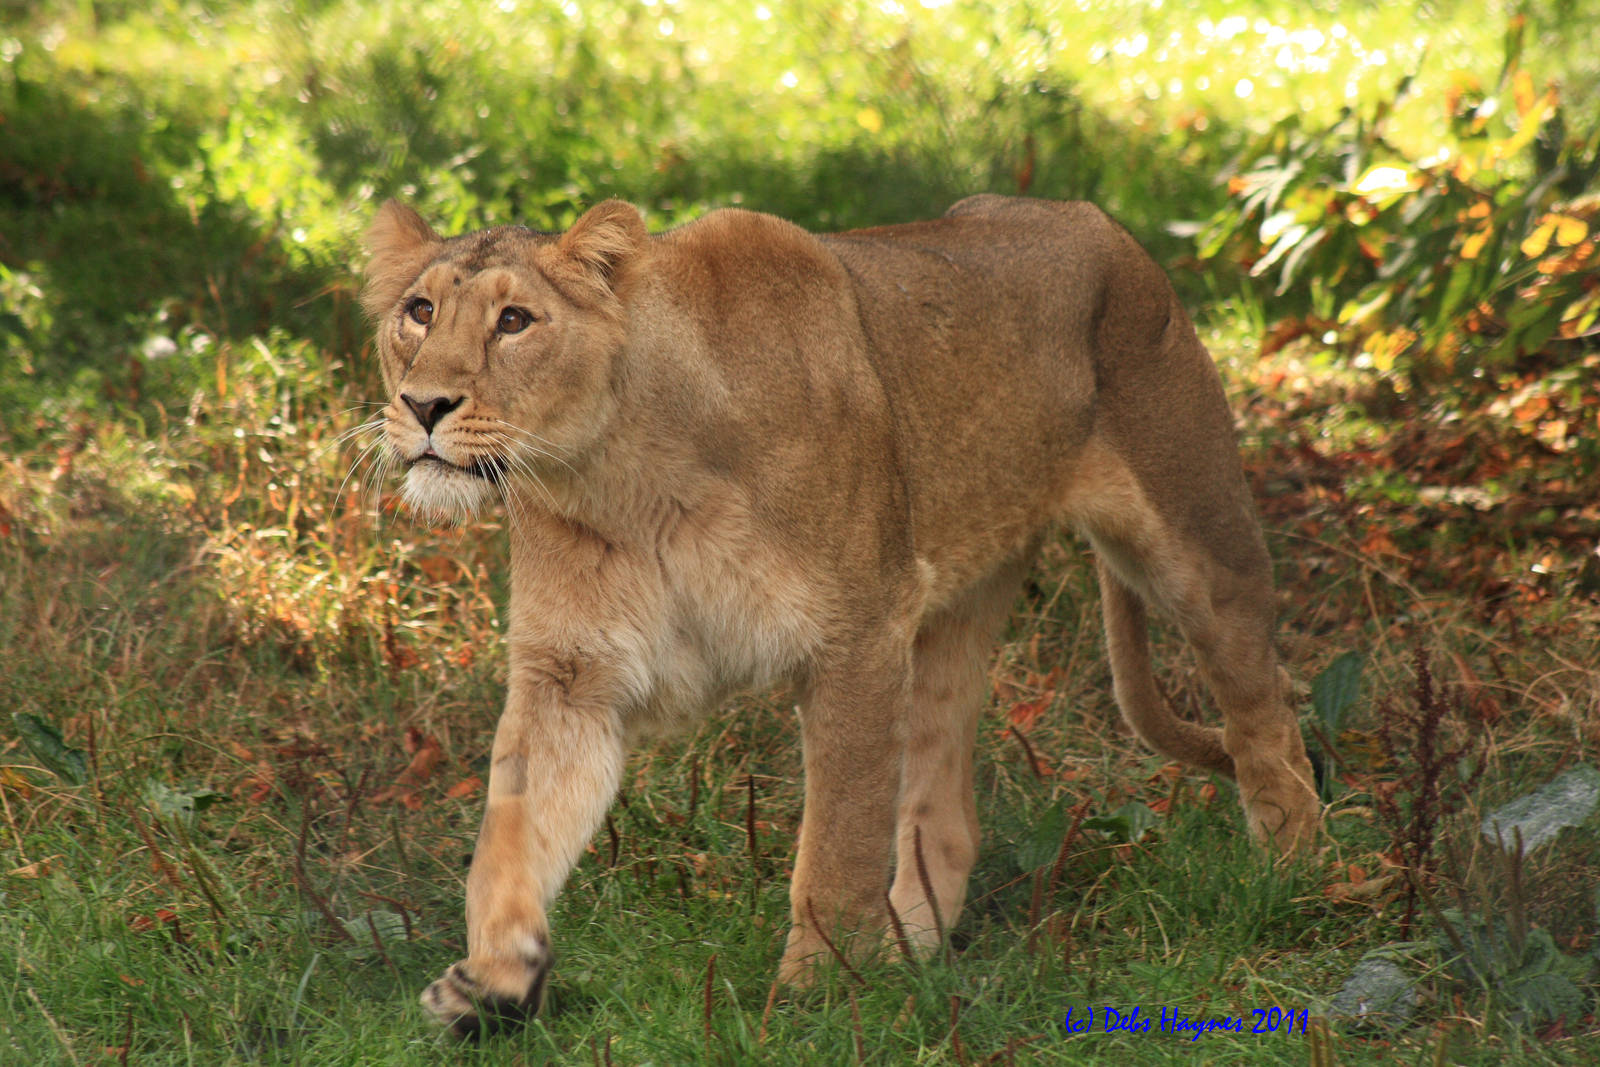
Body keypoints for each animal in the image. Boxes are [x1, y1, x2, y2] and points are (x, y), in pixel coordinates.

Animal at [359, 194, 1321, 1036]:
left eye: (515, 321)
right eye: (419, 312)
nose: (424, 405)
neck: (621, 473)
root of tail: (1093, 218)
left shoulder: (858, 635)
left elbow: (839, 840)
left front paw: (819, 992)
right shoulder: (572, 677)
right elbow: (510, 834)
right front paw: (491, 979)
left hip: (1197, 537)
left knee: (1267, 709)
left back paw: (1292, 876)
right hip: (952, 609)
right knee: (946, 812)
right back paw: (909, 951)